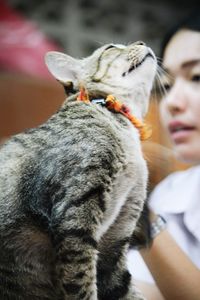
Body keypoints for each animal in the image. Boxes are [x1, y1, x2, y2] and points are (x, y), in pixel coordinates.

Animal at [0, 41, 156, 298]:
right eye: (111, 47)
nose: (142, 42)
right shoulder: (75, 217)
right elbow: (82, 284)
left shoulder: (118, 234)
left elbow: (123, 287)